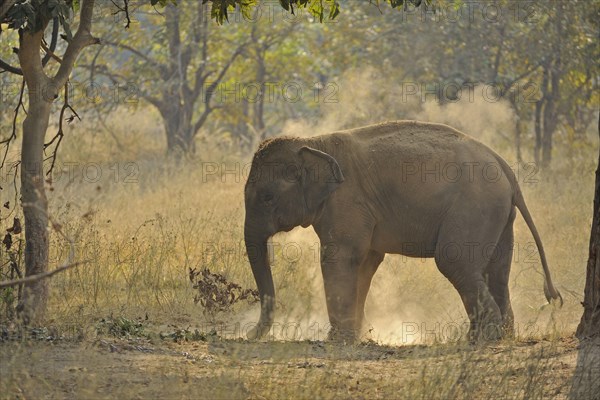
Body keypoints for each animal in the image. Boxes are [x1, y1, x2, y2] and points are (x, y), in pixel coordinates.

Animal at [244, 120, 564, 342]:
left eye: (267, 197)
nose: (248, 335)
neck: (312, 142)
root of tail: (506, 169)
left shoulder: (347, 201)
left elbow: (340, 257)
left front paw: (336, 340)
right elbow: (367, 262)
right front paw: (358, 336)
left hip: (475, 207)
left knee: (455, 262)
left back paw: (482, 339)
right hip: (499, 215)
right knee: (496, 272)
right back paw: (499, 335)